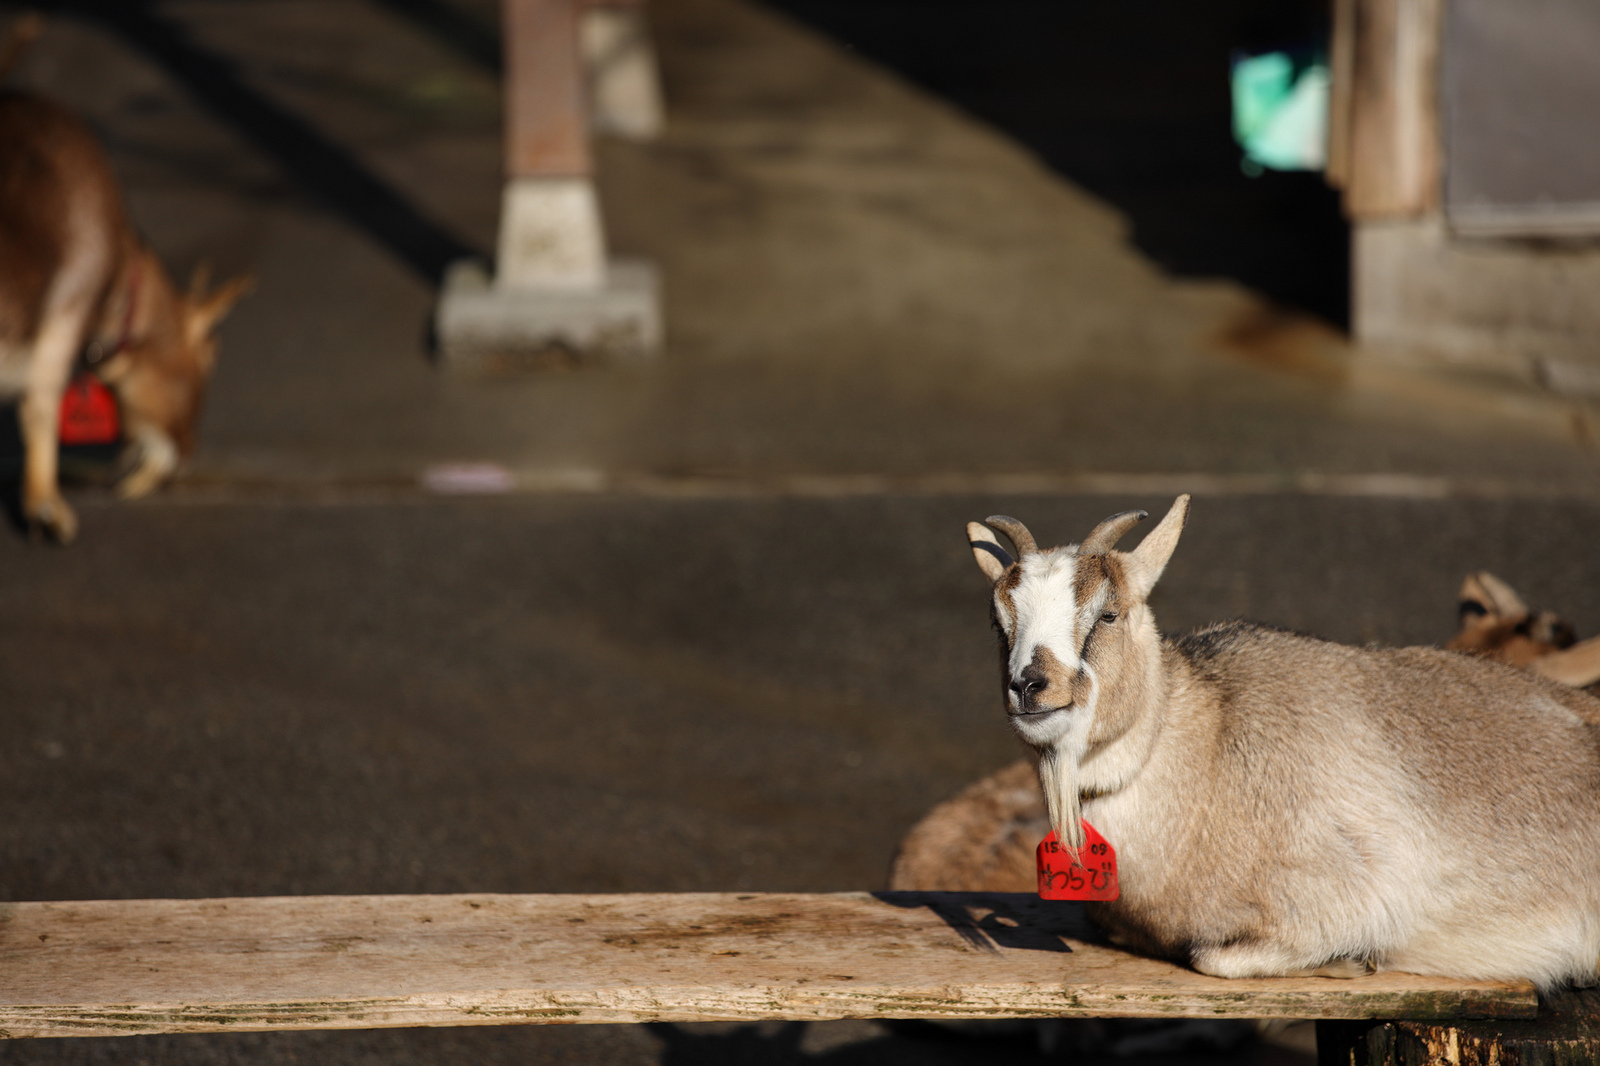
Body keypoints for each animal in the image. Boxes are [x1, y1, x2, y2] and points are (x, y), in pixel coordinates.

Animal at [934, 492, 1600, 985]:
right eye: (999, 622)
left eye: (1107, 613)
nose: (1030, 685)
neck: (1206, 748)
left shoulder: (1344, 900)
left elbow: (1215, 958)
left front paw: (1354, 962)